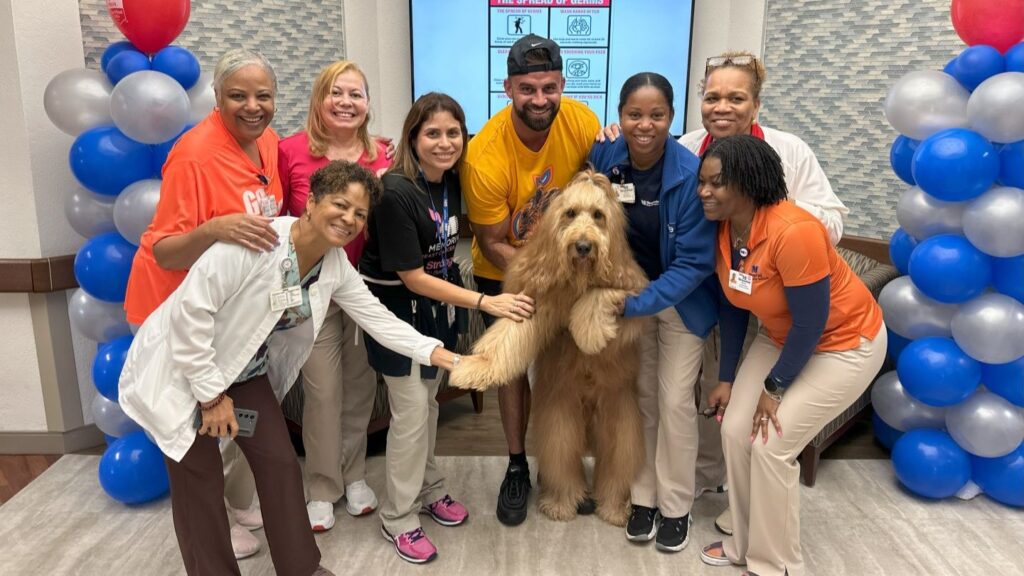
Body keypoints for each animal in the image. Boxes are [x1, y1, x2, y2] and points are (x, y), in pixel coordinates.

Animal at [450, 168, 643, 522]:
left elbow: (601, 295)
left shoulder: (635, 290)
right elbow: (505, 337)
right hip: (560, 415)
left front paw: (587, 331)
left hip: (620, 419)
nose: (583, 246)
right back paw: (562, 502)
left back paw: (613, 507)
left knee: (617, 464)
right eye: (570, 213)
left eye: (598, 215)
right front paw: (473, 367)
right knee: (561, 457)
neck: (577, 277)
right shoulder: (532, 301)